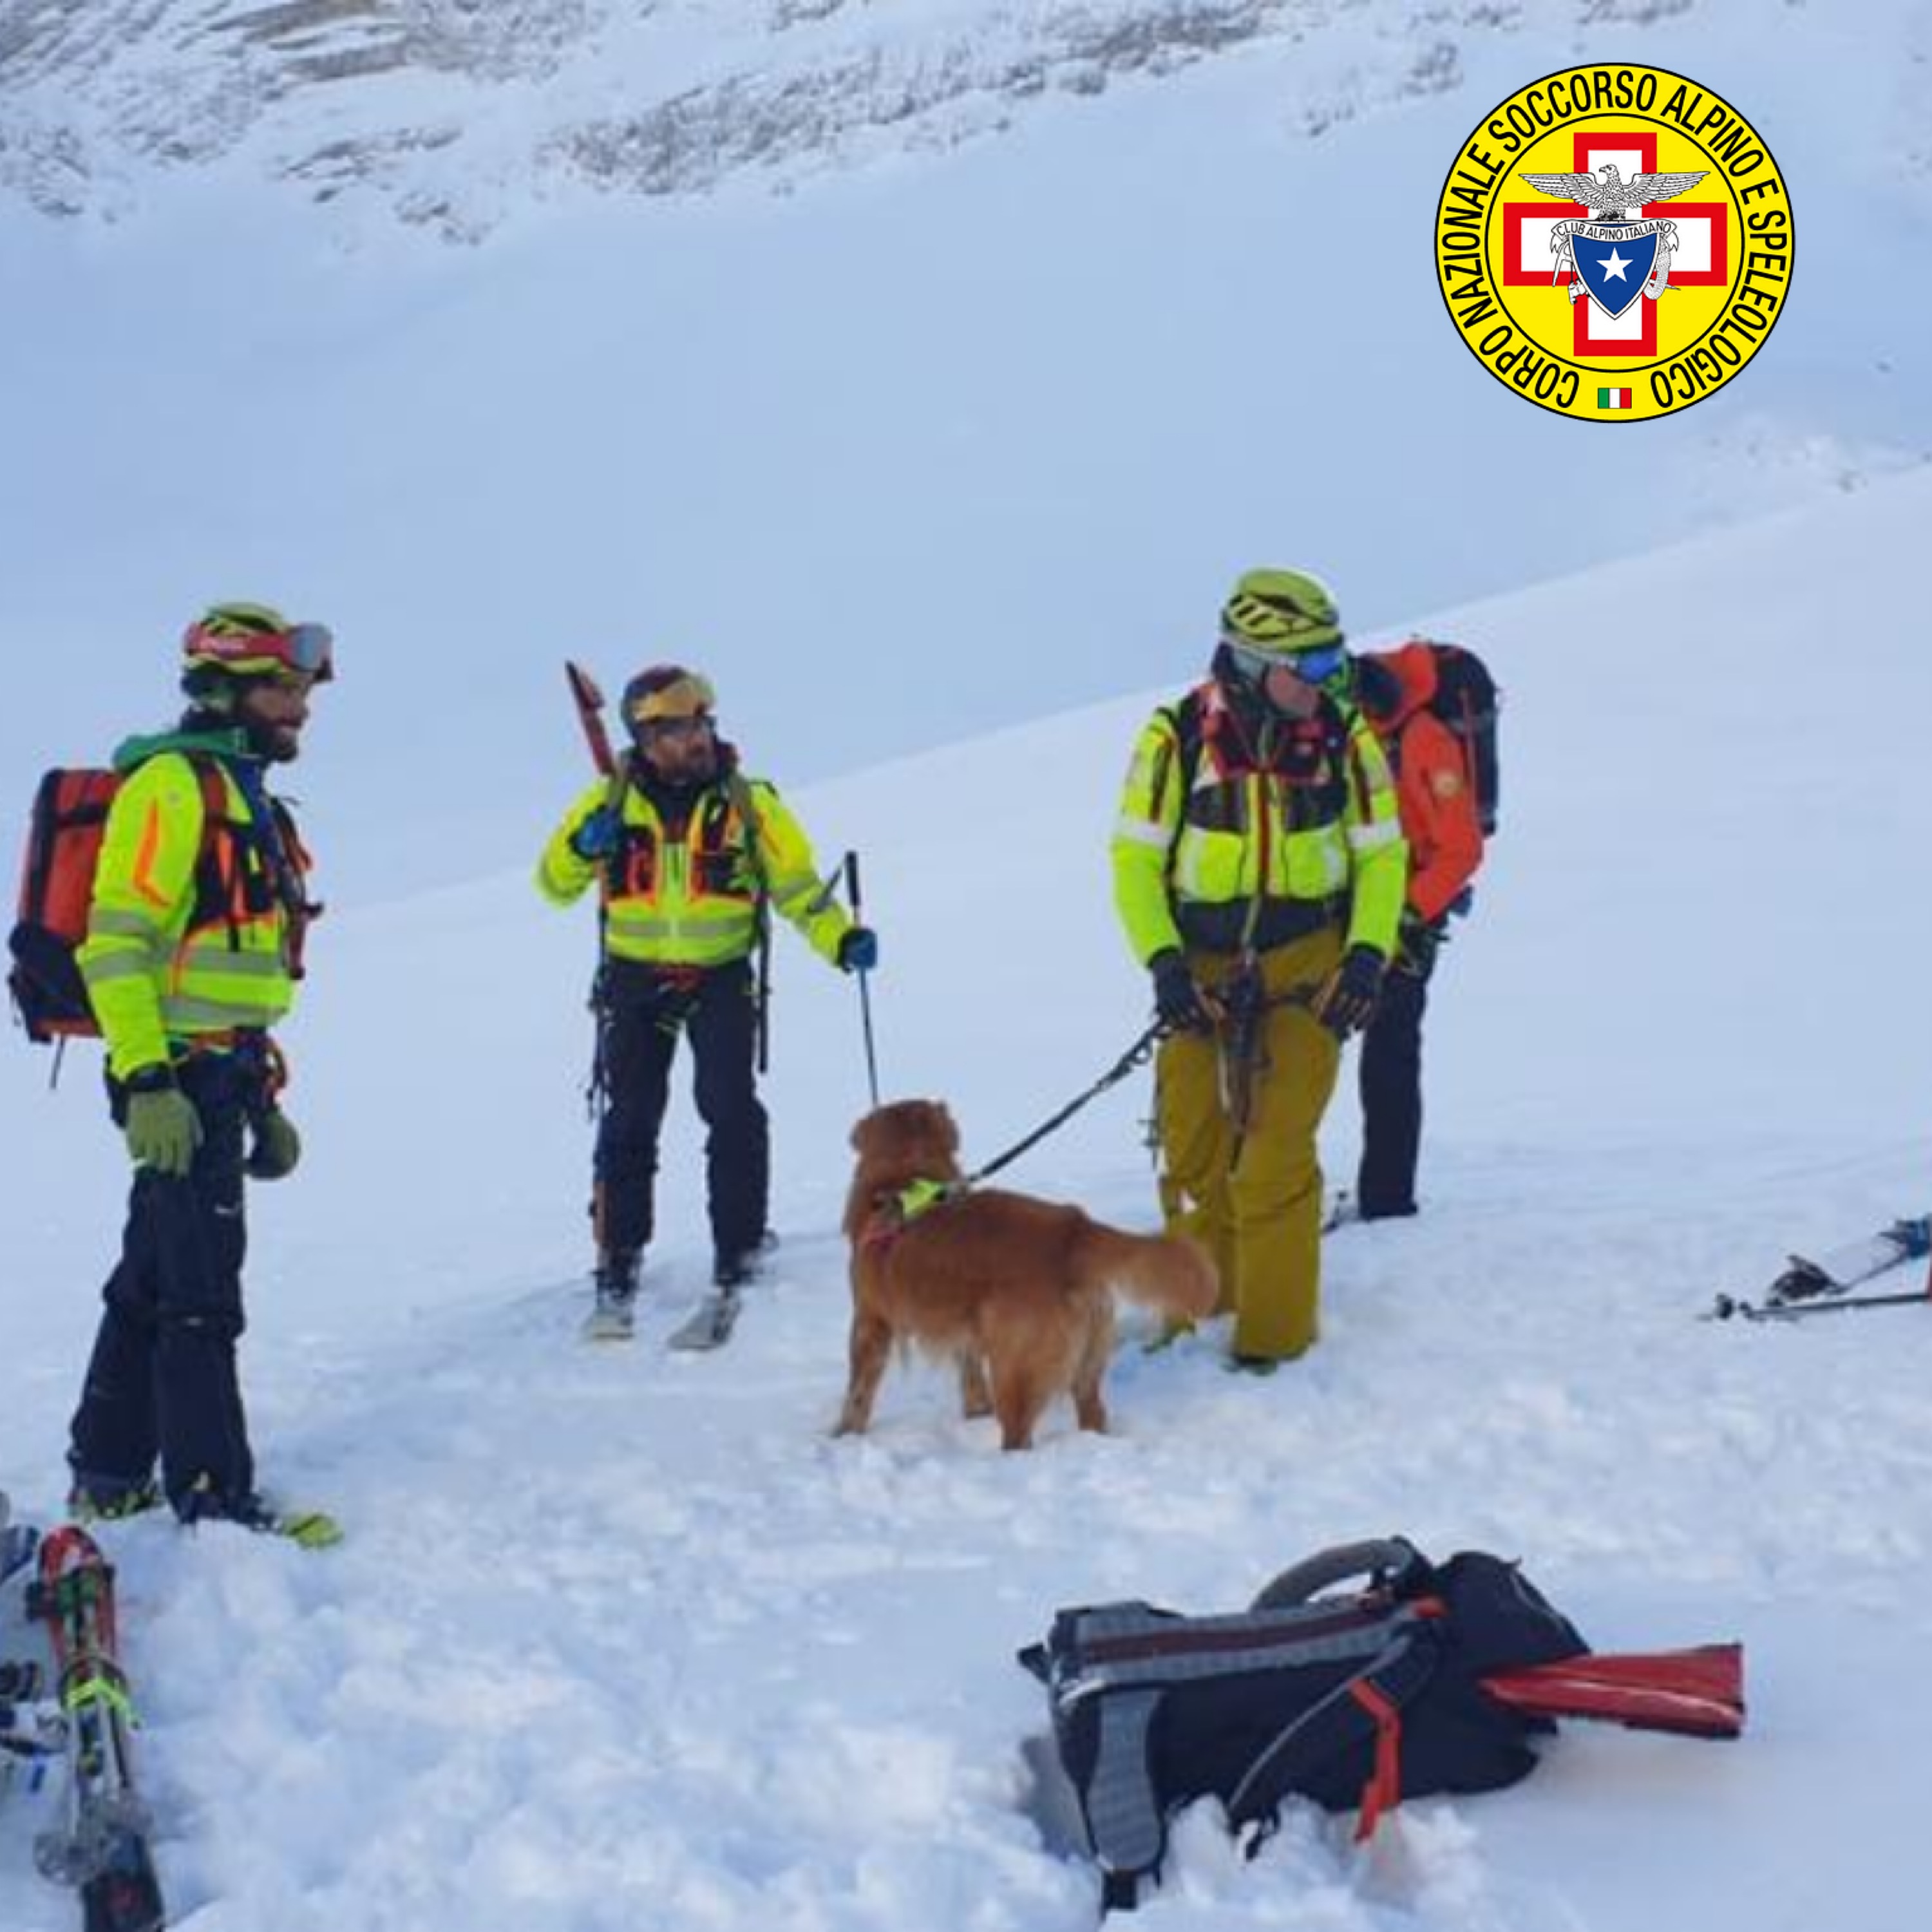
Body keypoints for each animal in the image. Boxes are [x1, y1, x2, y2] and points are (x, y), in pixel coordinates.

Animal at [838, 1105, 1213, 1453]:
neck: (903, 1172)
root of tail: (1074, 1230)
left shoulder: (870, 1321)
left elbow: (857, 1392)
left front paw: (842, 1435)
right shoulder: (965, 1334)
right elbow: (970, 1379)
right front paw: (975, 1413)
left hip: (1013, 1368)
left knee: (1019, 1437)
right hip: (1087, 1362)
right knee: (1092, 1412)